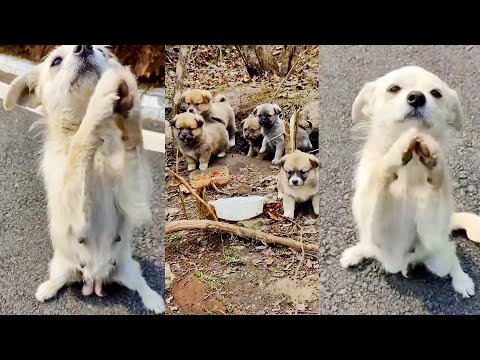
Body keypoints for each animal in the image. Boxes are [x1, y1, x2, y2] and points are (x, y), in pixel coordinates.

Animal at [3, 45, 165, 316]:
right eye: (56, 61)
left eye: (103, 51)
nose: (85, 47)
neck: (98, 152)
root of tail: (95, 279)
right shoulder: (77, 220)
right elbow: (80, 141)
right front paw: (99, 102)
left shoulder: (137, 204)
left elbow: (133, 141)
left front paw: (129, 92)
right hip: (60, 265)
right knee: (59, 279)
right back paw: (46, 289)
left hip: (129, 268)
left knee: (141, 284)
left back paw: (153, 299)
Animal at [340, 65, 474, 298]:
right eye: (393, 88)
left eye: (436, 93)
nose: (417, 97)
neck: (410, 171)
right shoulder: (382, 235)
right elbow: (381, 177)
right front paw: (395, 152)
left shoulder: (432, 234)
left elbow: (437, 184)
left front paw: (433, 159)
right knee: (367, 244)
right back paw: (356, 252)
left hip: (439, 259)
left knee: (451, 254)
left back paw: (462, 280)